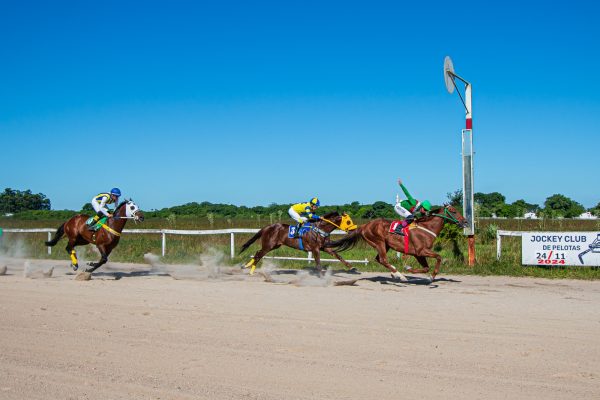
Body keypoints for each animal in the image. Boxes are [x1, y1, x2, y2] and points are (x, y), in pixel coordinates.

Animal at [324, 206, 468, 282]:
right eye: (454, 211)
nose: (465, 222)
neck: (427, 228)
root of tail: (364, 226)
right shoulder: (421, 251)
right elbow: (438, 257)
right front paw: (430, 276)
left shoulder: (418, 254)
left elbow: (426, 267)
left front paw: (414, 271)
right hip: (379, 242)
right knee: (383, 259)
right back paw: (400, 276)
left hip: (385, 245)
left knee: (379, 259)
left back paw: (395, 273)